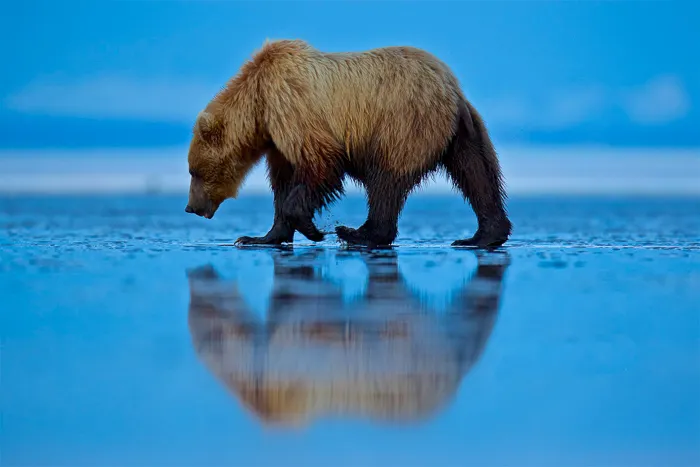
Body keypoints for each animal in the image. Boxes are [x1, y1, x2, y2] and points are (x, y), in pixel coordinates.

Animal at [184, 39, 512, 248]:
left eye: (194, 171)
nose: (190, 207)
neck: (258, 104)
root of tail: (452, 88)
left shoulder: (292, 108)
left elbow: (322, 164)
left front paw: (314, 229)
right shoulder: (278, 140)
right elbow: (283, 182)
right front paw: (256, 238)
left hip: (403, 124)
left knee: (387, 181)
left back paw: (357, 233)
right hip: (463, 131)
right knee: (477, 174)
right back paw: (482, 236)